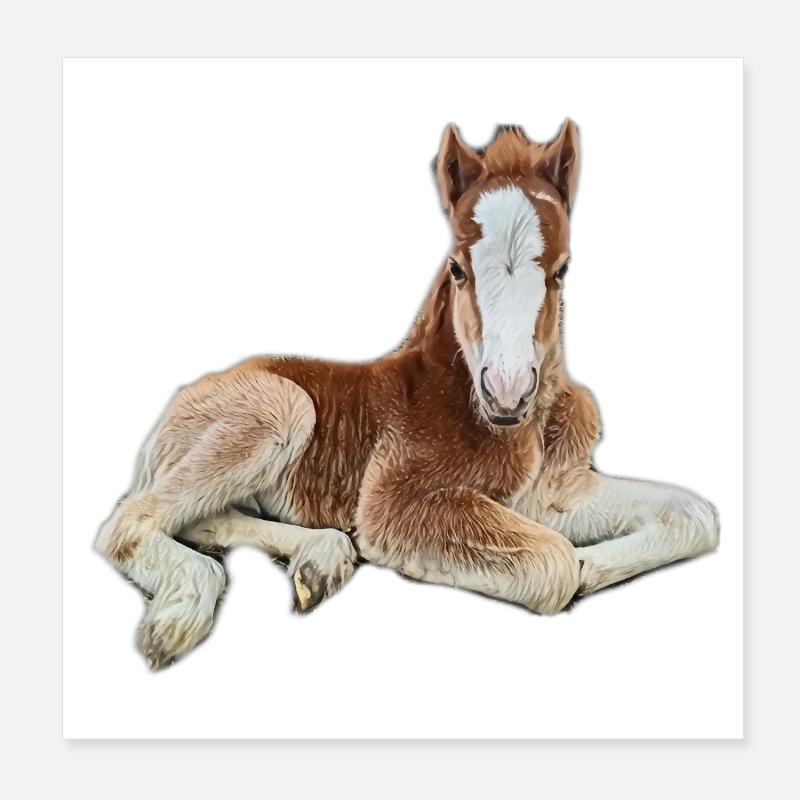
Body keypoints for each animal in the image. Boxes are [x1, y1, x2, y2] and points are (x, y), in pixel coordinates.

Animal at [96, 120, 720, 669]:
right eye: (458, 269)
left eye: (561, 270)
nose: (508, 395)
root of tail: (180, 403)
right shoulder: (395, 504)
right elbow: (554, 563)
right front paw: (577, 569)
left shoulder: (551, 495)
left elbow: (694, 514)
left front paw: (594, 565)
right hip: (280, 409)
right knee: (126, 522)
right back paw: (183, 610)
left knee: (202, 515)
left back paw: (321, 560)